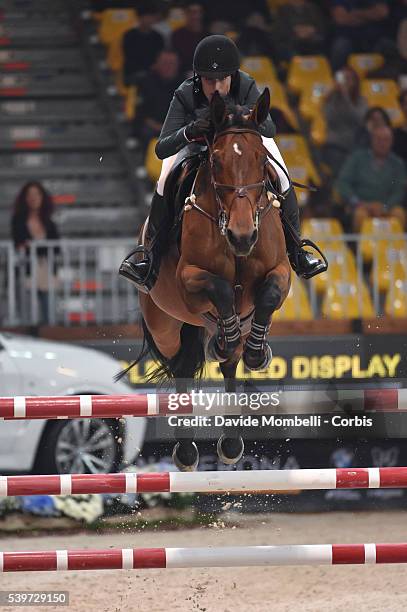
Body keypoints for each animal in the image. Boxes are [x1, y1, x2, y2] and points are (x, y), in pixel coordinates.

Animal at [122, 87, 292, 468]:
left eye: (262, 160)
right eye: (215, 162)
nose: (243, 237)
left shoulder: (281, 271)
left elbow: (269, 294)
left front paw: (257, 353)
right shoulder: (189, 280)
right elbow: (221, 289)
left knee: (230, 363)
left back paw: (230, 442)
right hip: (166, 324)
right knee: (182, 364)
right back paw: (186, 451)